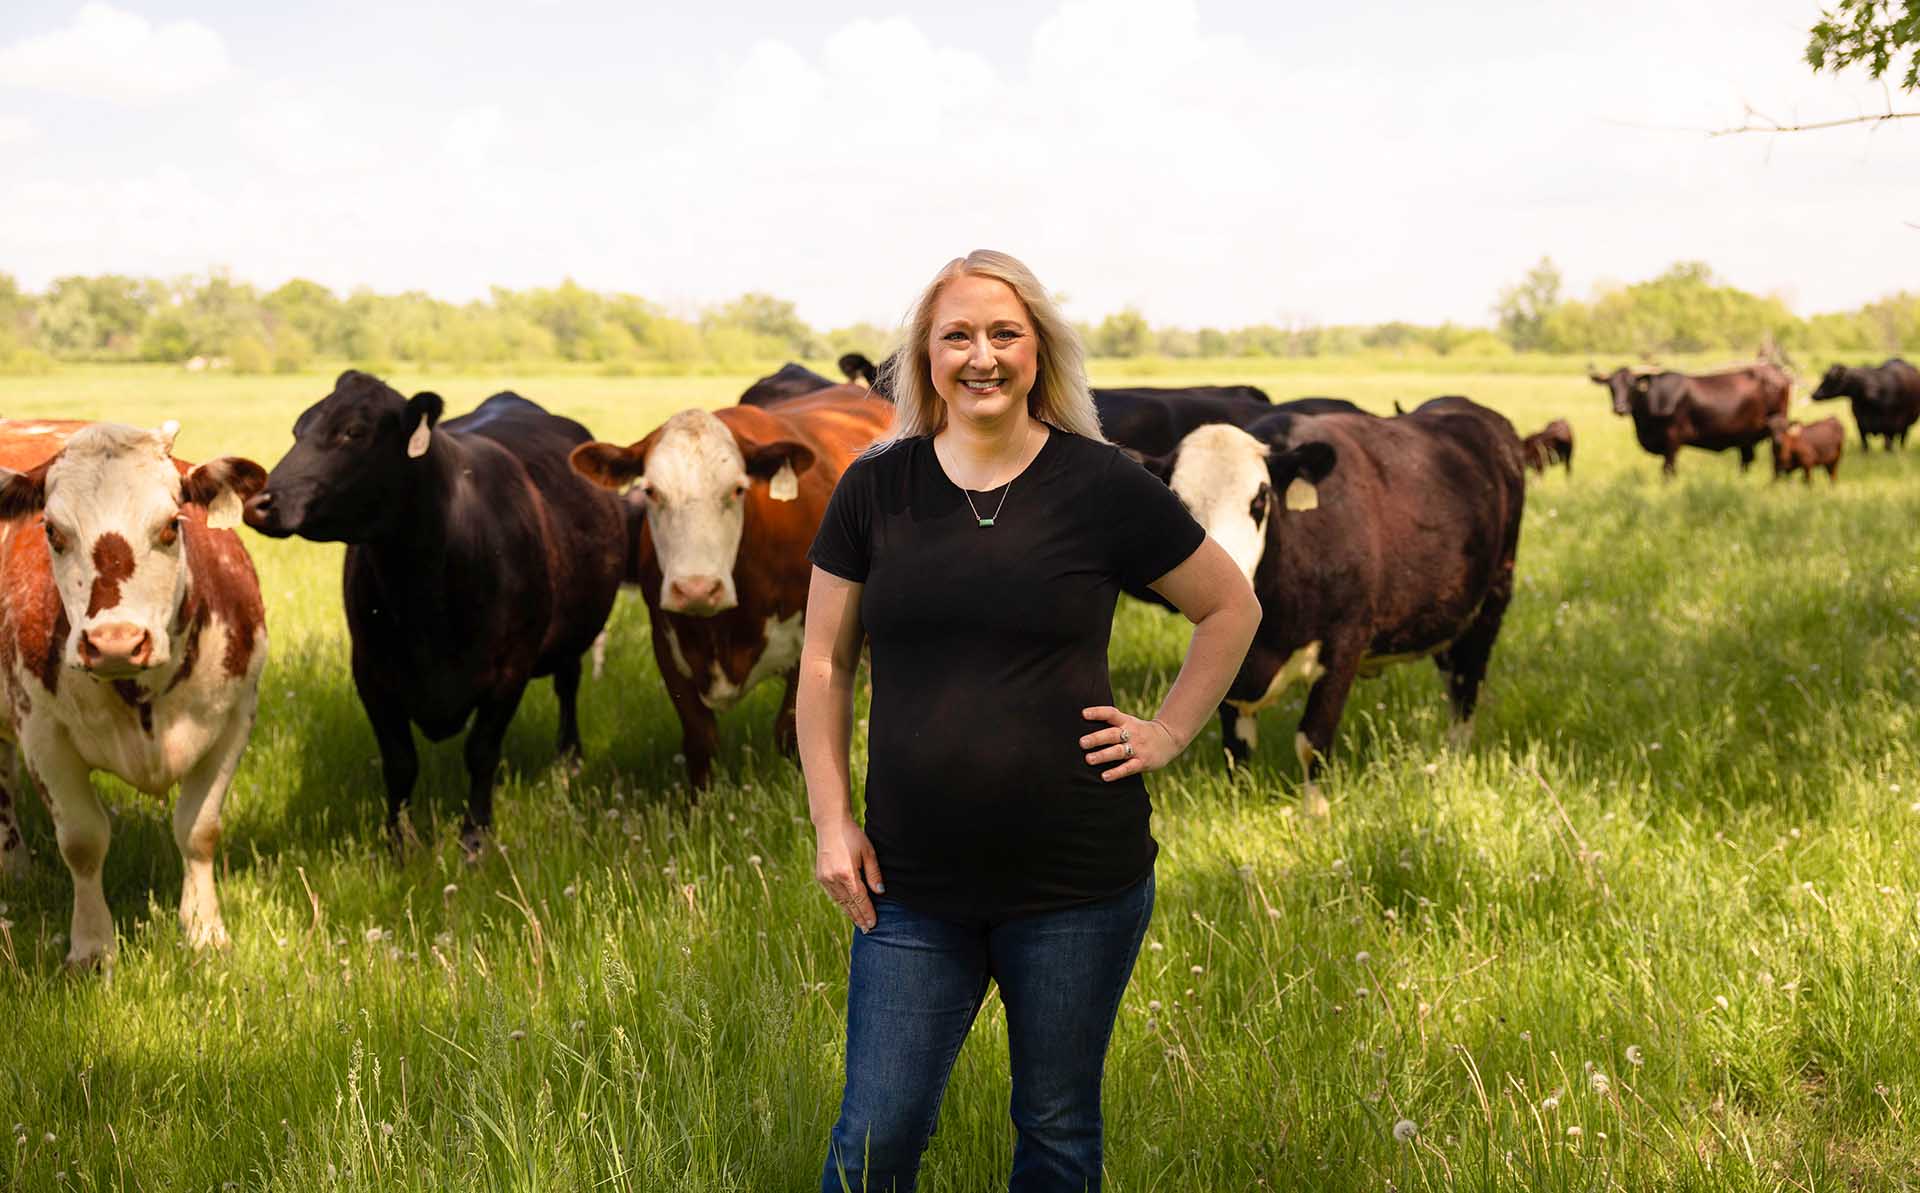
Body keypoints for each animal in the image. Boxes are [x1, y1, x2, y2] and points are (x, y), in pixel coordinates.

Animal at [0, 420, 268, 968]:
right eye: (52, 531)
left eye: (170, 526)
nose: (115, 641)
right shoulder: (42, 733)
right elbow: (82, 841)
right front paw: (91, 948)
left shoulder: (235, 720)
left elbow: (199, 830)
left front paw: (205, 932)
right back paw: (14, 867)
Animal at [243, 366, 625, 852]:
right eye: (298, 429)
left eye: (353, 432)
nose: (259, 503)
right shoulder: (371, 670)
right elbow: (400, 763)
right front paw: (397, 843)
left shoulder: (511, 669)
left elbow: (481, 753)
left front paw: (475, 837)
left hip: (572, 632)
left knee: (568, 683)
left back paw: (569, 758)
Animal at [564, 386, 887, 787]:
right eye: (651, 491)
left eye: (736, 490)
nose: (697, 588)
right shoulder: (667, 647)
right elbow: (700, 739)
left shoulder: (809, 647)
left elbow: (793, 733)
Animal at [1136, 397, 1528, 810]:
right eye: (1177, 502)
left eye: (1260, 499)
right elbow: (1235, 749)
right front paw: (1239, 805)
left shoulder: (1344, 645)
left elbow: (1313, 741)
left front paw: (1316, 815)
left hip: (1493, 598)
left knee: (1468, 684)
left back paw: (1456, 754)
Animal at [1582, 363, 1789, 474]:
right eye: (1611, 386)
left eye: (1632, 385)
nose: (1620, 408)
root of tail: (1775, 370)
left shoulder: (1672, 441)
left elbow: (1668, 471)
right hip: (1745, 439)